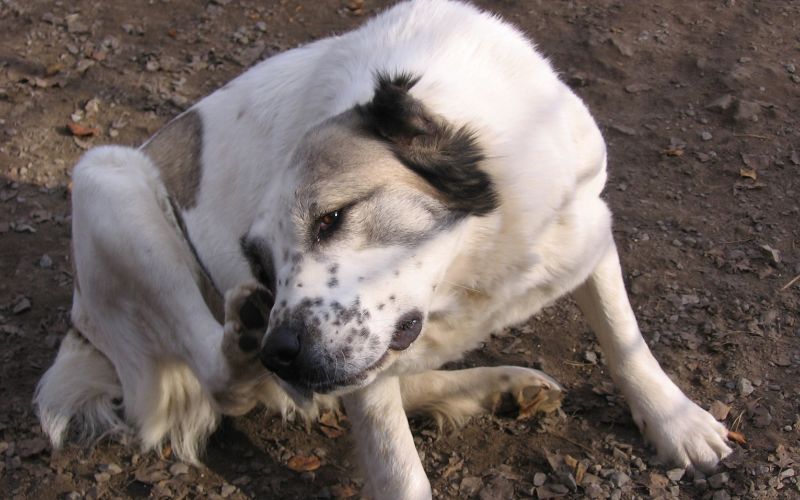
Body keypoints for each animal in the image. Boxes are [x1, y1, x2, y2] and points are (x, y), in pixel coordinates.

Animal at [37, 1, 736, 498]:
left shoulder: (586, 226)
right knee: (221, 381)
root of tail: (77, 322)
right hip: (106, 179)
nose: (280, 351)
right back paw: (244, 346)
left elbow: (623, 336)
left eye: (332, 218)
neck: (476, 261)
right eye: (261, 263)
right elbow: (395, 463)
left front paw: (675, 423)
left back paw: (497, 386)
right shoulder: (361, 358)